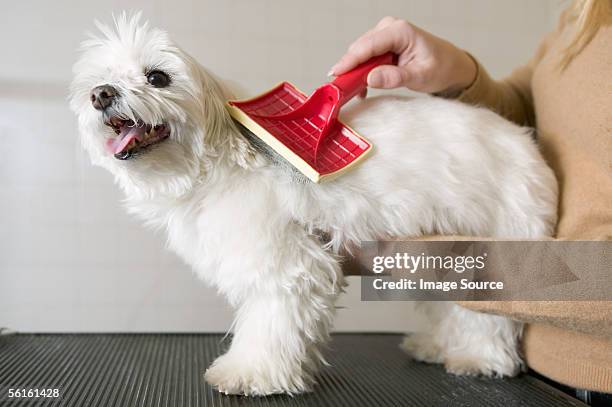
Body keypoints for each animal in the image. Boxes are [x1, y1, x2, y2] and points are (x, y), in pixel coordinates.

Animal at [70, 14, 560, 396]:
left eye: (157, 77)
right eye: (100, 80)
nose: (101, 94)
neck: (217, 162)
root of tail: (526, 142)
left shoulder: (285, 266)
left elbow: (269, 325)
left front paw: (249, 373)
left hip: (497, 246)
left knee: (489, 316)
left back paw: (477, 357)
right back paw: (438, 344)